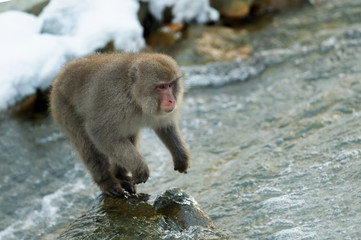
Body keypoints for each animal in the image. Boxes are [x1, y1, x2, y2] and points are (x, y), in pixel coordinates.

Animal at [49, 53, 190, 198]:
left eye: (171, 85)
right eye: (161, 87)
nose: (172, 100)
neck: (133, 96)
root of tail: (61, 74)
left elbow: (165, 126)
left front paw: (181, 157)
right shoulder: (114, 103)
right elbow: (100, 134)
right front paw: (141, 169)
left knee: (129, 134)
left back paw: (120, 175)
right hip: (64, 108)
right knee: (88, 146)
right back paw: (106, 181)